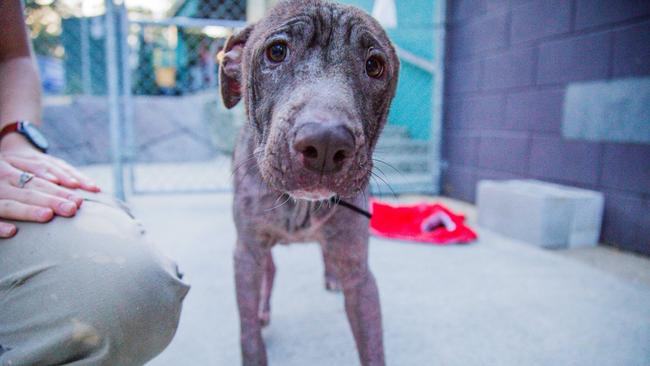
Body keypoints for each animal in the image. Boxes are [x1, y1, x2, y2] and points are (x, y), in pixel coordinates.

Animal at [220, 1, 398, 364]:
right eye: (276, 51)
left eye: (374, 66)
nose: (326, 144)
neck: (300, 204)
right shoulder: (247, 251)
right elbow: (248, 330)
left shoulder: (359, 274)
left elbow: (372, 344)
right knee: (270, 270)